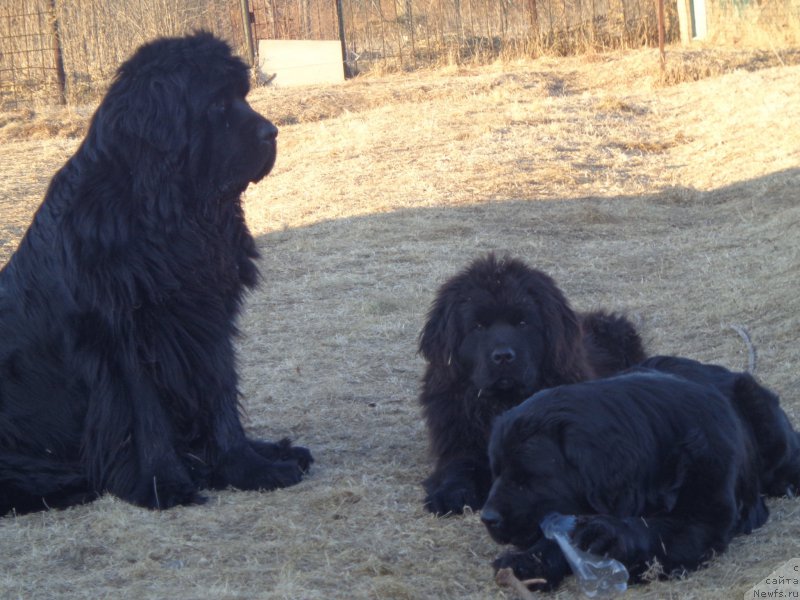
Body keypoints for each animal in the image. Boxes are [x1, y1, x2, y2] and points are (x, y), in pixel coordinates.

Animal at [0, 31, 310, 516]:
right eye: (217, 104)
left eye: (242, 96)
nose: (272, 132)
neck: (170, 213)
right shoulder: (123, 337)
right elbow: (147, 417)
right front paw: (166, 484)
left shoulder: (207, 320)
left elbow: (221, 398)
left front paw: (248, 467)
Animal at [416, 253, 648, 516]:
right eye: (478, 326)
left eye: (522, 323)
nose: (503, 356)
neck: (501, 402)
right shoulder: (458, 442)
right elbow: (458, 468)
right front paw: (450, 494)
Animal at [482, 356, 800, 592]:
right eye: (495, 473)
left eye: (526, 478)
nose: (487, 518)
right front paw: (528, 561)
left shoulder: (703, 518)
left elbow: (656, 528)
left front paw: (611, 535)